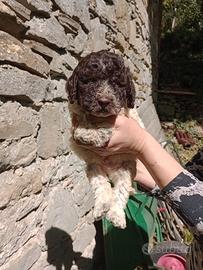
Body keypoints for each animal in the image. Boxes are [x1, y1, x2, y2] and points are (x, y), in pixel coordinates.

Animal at [66, 50, 144, 228]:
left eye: (117, 83)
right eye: (90, 81)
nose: (104, 102)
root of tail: (110, 171)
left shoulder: (126, 116)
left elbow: (109, 120)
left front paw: (92, 134)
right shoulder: (75, 110)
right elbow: (81, 118)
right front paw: (85, 132)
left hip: (126, 169)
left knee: (121, 192)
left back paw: (116, 215)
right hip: (94, 168)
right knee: (102, 187)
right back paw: (101, 207)